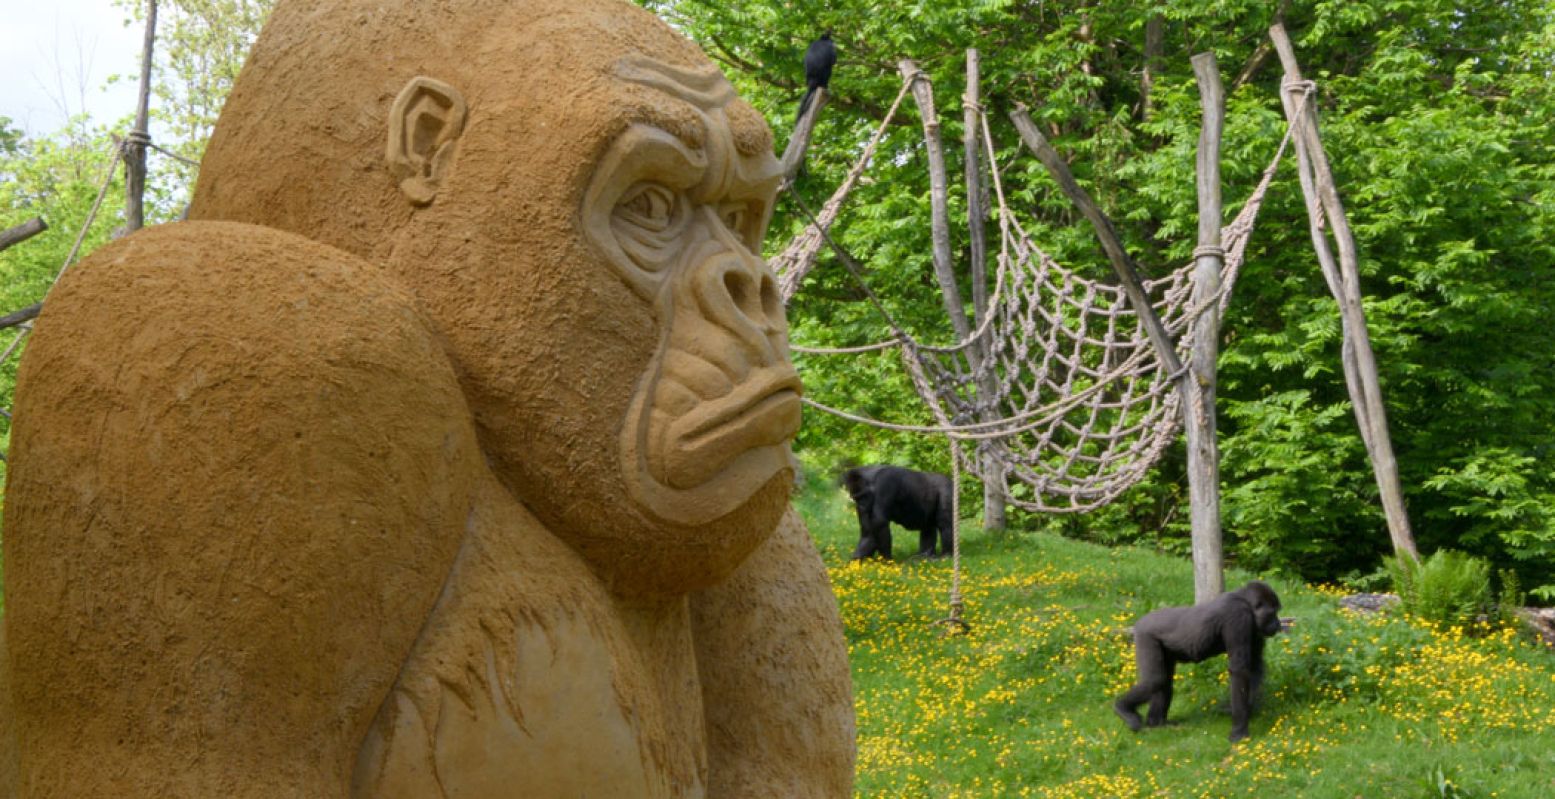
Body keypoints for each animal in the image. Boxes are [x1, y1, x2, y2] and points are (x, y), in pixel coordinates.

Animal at [1119, 578, 1287, 739]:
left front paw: (1246, 709)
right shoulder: (1239, 616)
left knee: (1163, 681)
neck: (1245, 600)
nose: (1278, 624)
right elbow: (1240, 671)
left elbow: (1255, 667)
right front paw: (1239, 729)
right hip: (1144, 635)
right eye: (1272, 613)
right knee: (1155, 680)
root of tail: (1140, 621)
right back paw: (1123, 708)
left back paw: (1157, 723)